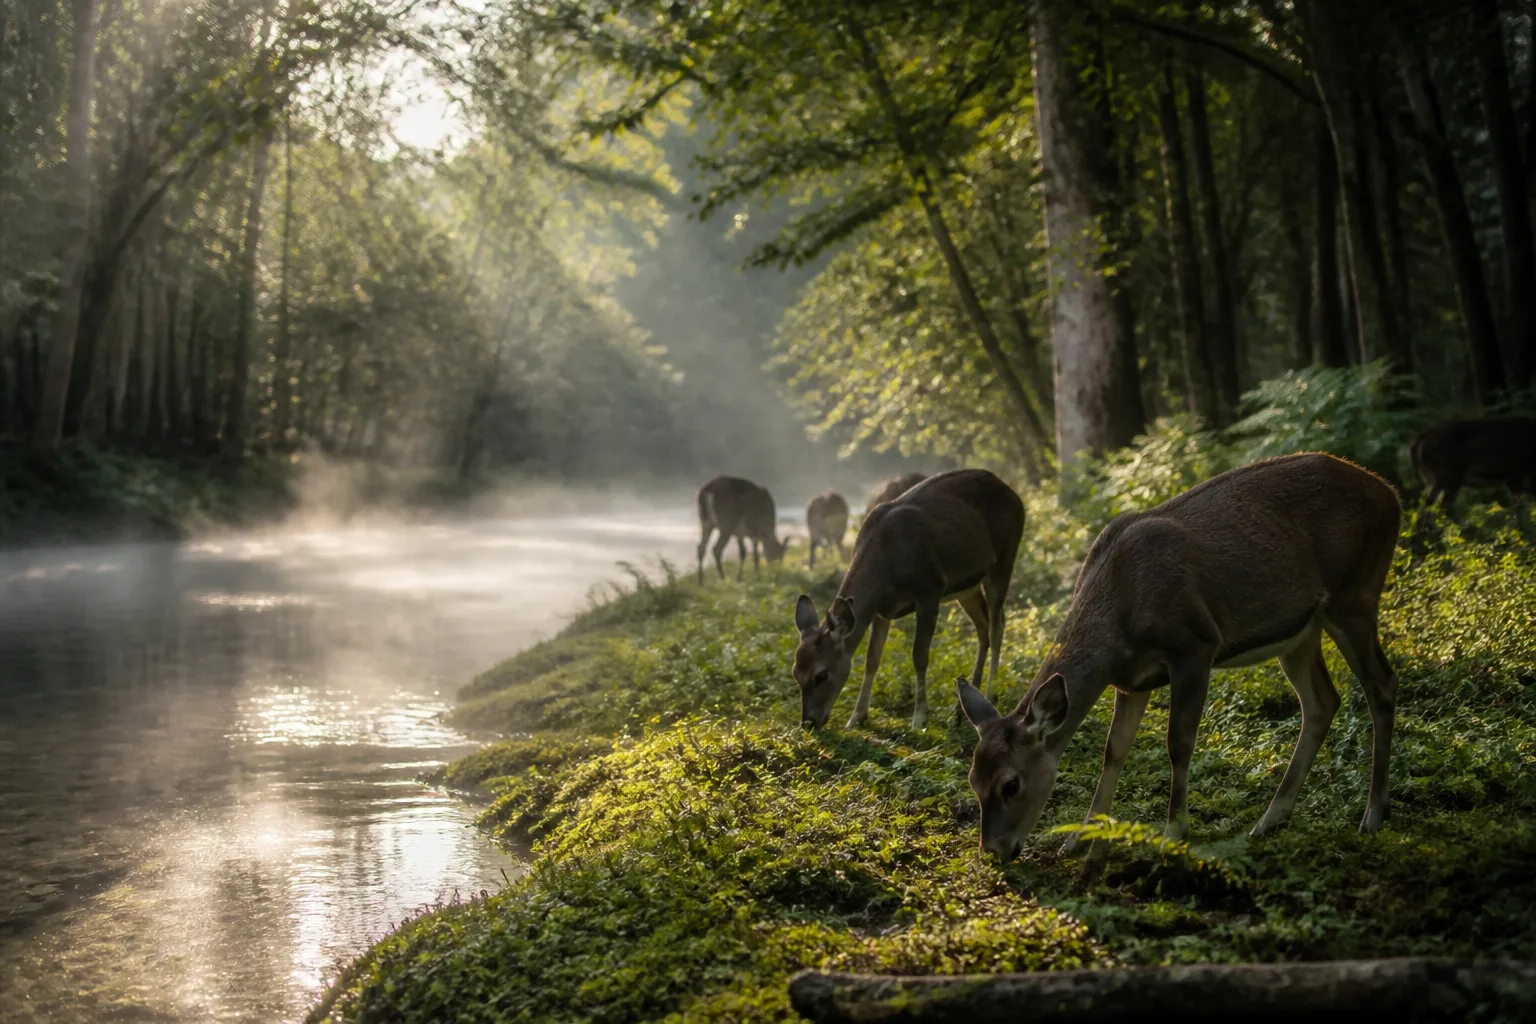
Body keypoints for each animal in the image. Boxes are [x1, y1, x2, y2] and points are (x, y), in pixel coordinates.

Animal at [793, 469, 1024, 730]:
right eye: (795, 673)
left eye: (821, 674)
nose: (808, 722)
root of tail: (1014, 495)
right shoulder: (882, 610)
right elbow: (872, 659)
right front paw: (856, 717)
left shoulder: (930, 589)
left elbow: (919, 655)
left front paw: (920, 717)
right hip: (967, 587)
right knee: (983, 626)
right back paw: (965, 702)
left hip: (1004, 559)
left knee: (997, 625)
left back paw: (990, 692)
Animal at [958, 452, 1401, 865]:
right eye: (973, 781)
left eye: (1011, 784)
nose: (993, 851)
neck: (1120, 619)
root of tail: (1391, 494)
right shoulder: (1130, 679)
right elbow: (1113, 751)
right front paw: (1079, 838)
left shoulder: (1194, 645)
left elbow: (1179, 743)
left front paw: (1173, 834)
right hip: (1301, 631)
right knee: (1322, 701)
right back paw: (1271, 818)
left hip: (1355, 592)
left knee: (1382, 684)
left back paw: (1373, 815)